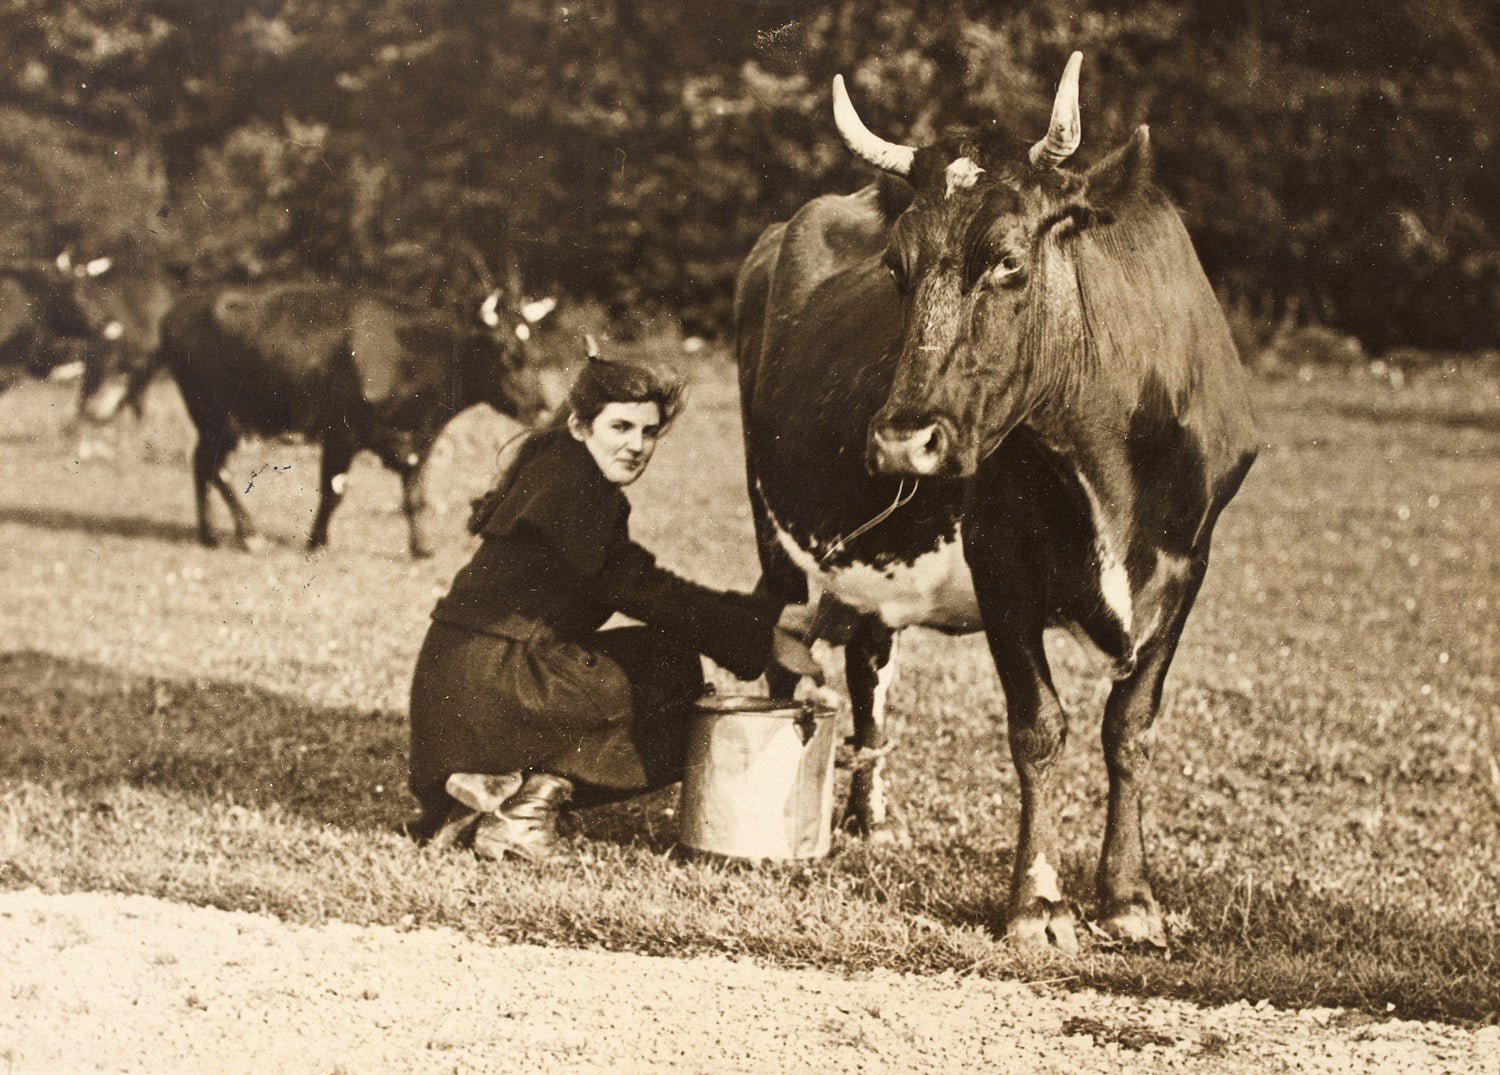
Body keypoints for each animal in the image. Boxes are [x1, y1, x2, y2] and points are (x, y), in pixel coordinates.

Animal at [153, 281, 553, 558]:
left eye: (534, 349)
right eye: (503, 350)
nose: (541, 405)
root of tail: (178, 309)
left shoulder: (419, 439)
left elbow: (415, 495)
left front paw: (421, 548)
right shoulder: (340, 433)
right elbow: (334, 491)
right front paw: (317, 542)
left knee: (201, 465)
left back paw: (209, 534)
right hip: (218, 417)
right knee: (213, 466)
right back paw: (247, 534)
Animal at [735, 53, 1258, 952]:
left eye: (1008, 260)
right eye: (896, 268)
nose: (902, 440)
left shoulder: (1193, 558)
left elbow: (1130, 725)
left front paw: (1129, 896)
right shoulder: (1000, 560)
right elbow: (1038, 725)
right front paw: (1038, 903)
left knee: (870, 662)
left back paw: (873, 821)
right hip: (776, 532)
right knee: (791, 653)